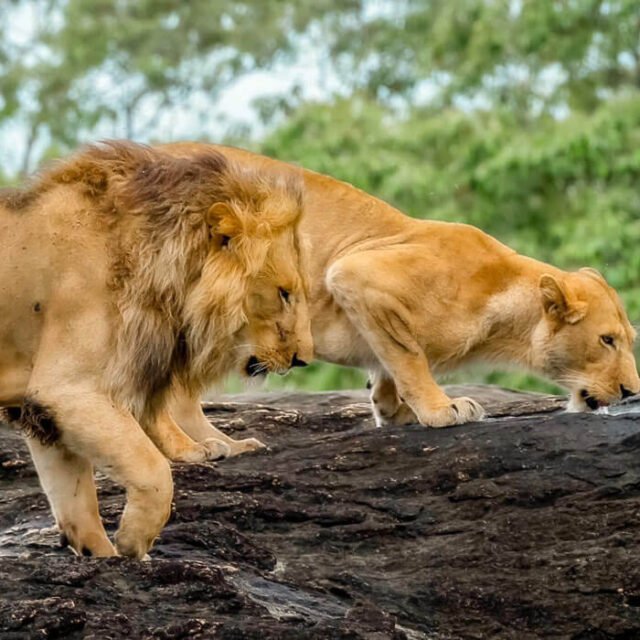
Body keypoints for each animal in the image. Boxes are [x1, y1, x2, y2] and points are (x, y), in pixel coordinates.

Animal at [0, 141, 312, 558]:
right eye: (284, 293)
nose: (302, 359)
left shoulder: (43, 409)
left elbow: (75, 499)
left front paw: (104, 555)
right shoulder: (67, 390)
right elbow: (152, 468)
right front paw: (135, 540)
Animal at [149, 142, 638, 454]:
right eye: (607, 340)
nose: (632, 391)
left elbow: (388, 360)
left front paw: (392, 410)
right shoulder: (356, 272)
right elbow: (409, 356)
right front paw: (442, 409)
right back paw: (212, 447)